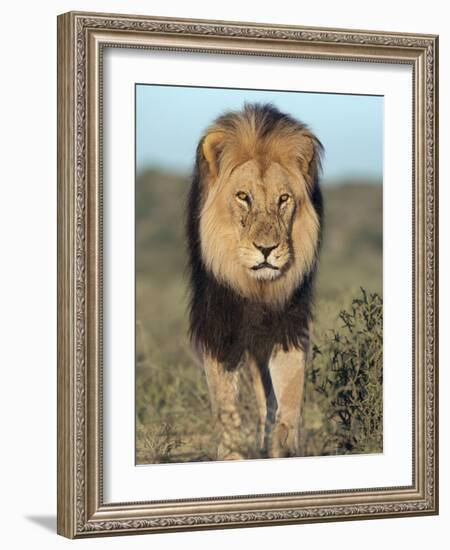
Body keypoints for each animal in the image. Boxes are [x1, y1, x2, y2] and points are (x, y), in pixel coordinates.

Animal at [186, 102, 324, 462]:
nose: (266, 249)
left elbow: (288, 397)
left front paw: (285, 451)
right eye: (243, 197)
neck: (256, 287)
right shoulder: (219, 324)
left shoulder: (289, 323)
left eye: (283, 199)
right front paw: (232, 455)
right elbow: (225, 403)